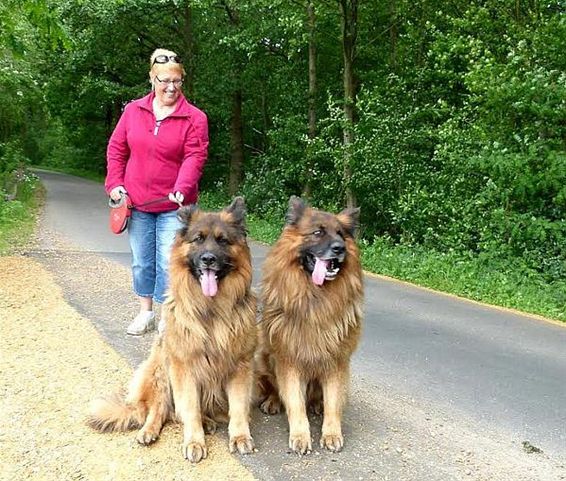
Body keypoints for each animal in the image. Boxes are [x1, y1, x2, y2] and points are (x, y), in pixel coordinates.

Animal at [88, 196, 258, 462]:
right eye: (198, 239)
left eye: (222, 240)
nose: (208, 259)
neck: (211, 310)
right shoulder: (183, 367)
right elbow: (189, 409)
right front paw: (194, 442)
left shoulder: (240, 365)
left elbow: (238, 407)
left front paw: (240, 436)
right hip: (160, 372)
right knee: (160, 411)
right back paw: (150, 431)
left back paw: (209, 421)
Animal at [258, 195, 364, 454]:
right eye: (318, 232)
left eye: (341, 234)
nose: (340, 248)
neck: (316, 300)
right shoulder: (289, 360)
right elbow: (295, 402)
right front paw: (300, 436)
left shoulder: (336, 360)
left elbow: (334, 402)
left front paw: (332, 434)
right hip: (265, 358)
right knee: (276, 389)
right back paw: (273, 401)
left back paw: (317, 404)